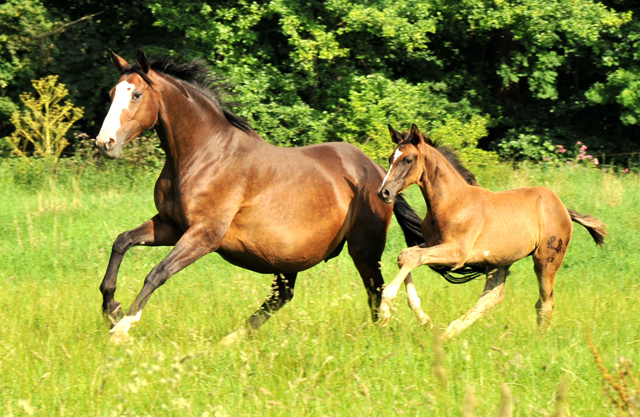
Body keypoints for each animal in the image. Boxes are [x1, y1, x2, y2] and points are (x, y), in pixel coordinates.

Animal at [95, 50, 424, 342]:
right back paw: (232, 340)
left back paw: (380, 335)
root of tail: (379, 174)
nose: (104, 143)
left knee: (375, 291)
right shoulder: (171, 226)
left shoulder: (204, 235)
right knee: (283, 295)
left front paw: (122, 328)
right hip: (291, 256)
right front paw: (111, 309)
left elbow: (157, 273)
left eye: (137, 94)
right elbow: (121, 242)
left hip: (363, 249)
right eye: (112, 93)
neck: (204, 154)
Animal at [378, 123, 608, 338]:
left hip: (546, 260)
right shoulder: (434, 243)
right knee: (492, 297)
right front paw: (424, 319)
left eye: (408, 159)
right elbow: (405, 255)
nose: (384, 192)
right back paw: (448, 334)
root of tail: (562, 208)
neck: (452, 202)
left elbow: (411, 257)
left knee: (545, 301)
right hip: (500, 261)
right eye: (390, 158)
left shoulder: (457, 254)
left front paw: (385, 310)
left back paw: (539, 340)